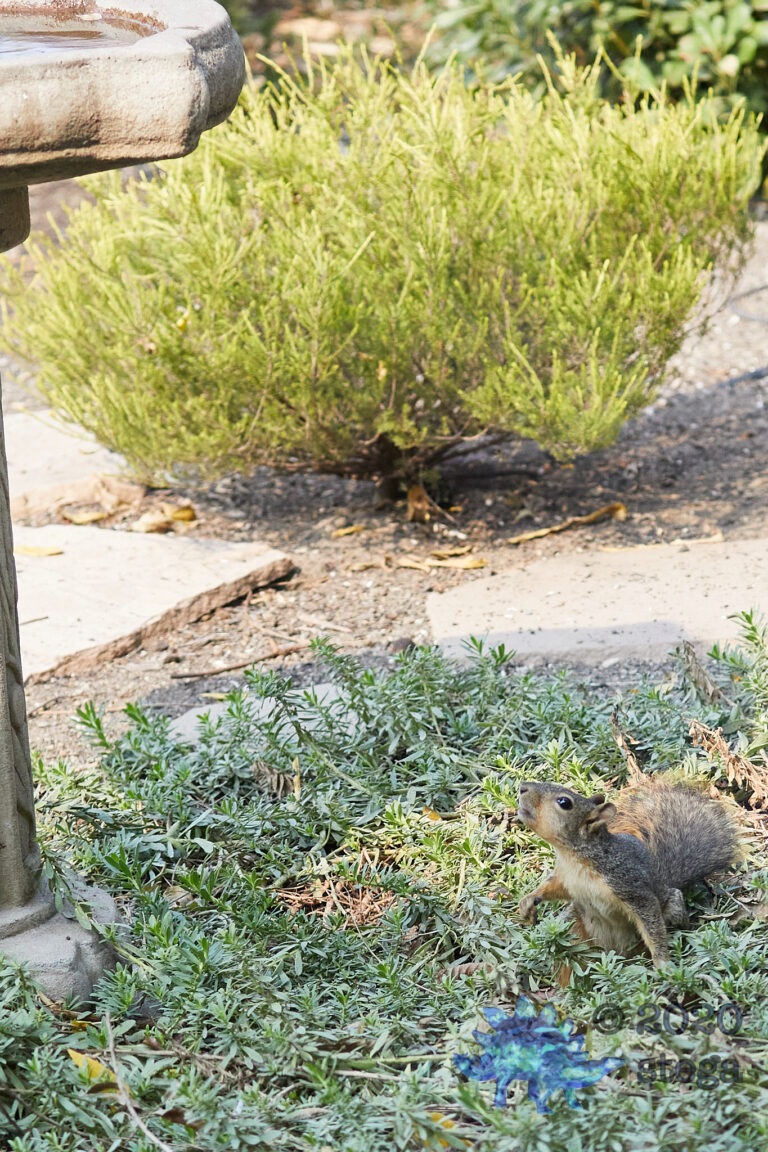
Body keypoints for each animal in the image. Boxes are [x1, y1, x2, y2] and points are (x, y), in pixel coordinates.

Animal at [516, 779, 740, 967]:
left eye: (564, 802)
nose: (522, 787)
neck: (574, 859)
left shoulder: (628, 883)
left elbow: (651, 923)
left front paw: (663, 964)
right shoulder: (566, 878)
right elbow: (553, 888)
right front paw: (529, 900)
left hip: (672, 908)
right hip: (574, 921)